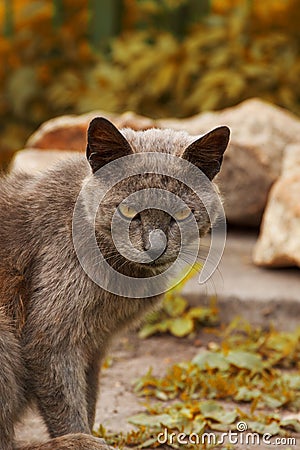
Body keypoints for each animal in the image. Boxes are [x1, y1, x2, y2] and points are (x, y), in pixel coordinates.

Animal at [0, 118, 230, 448]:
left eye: (182, 212)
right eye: (128, 210)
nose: (154, 246)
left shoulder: (94, 347)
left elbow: (89, 400)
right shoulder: (51, 340)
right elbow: (68, 407)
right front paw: (84, 437)